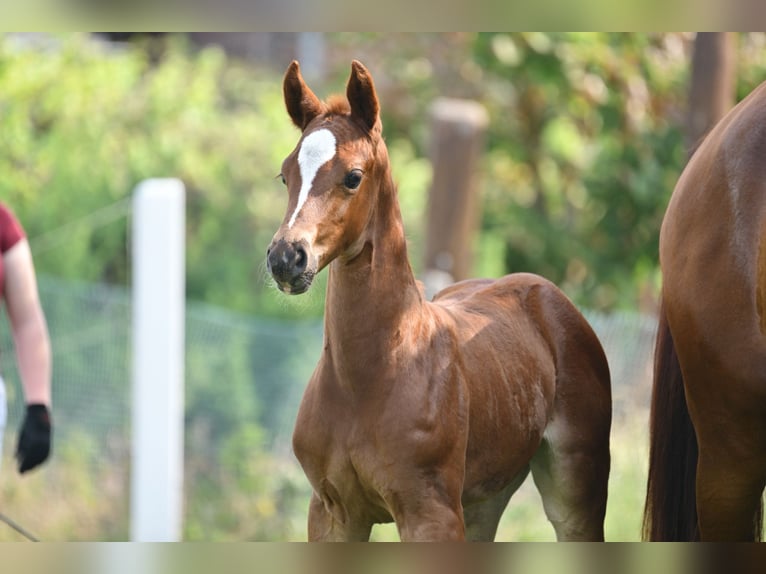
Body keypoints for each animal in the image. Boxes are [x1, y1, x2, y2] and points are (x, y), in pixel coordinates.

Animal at [266, 60, 612, 541]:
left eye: (353, 176)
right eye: (286, 174)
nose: (286, 257)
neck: (367, 378)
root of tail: (548, 294)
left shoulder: (430, 514)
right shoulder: (332, 514)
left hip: (575, 490)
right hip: (485, 500)